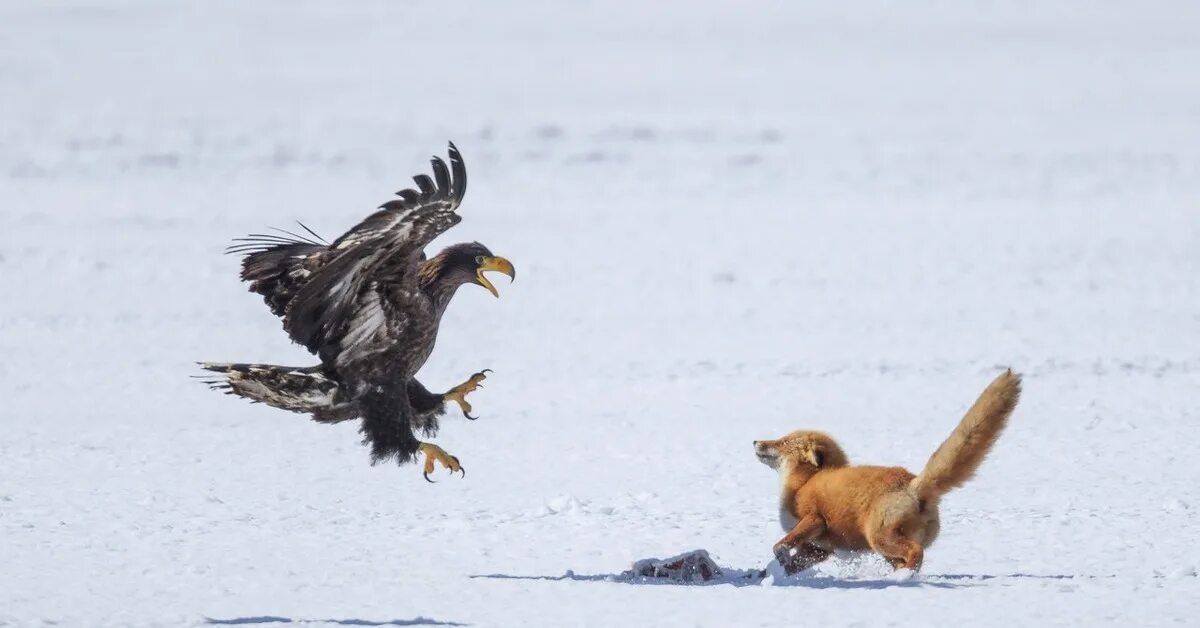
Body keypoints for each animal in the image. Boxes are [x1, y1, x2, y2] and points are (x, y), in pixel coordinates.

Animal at [753, 372, 1017, 578]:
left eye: (782, 442)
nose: (755, 441)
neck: (802, 483)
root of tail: (914, 483)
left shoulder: (814, 520)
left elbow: (780, 546)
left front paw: (780, 561)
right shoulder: (820, 548)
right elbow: (789, 564)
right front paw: (771, 575)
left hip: (880, 538)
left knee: (916, 552)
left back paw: (903, 578)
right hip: (885, 547)